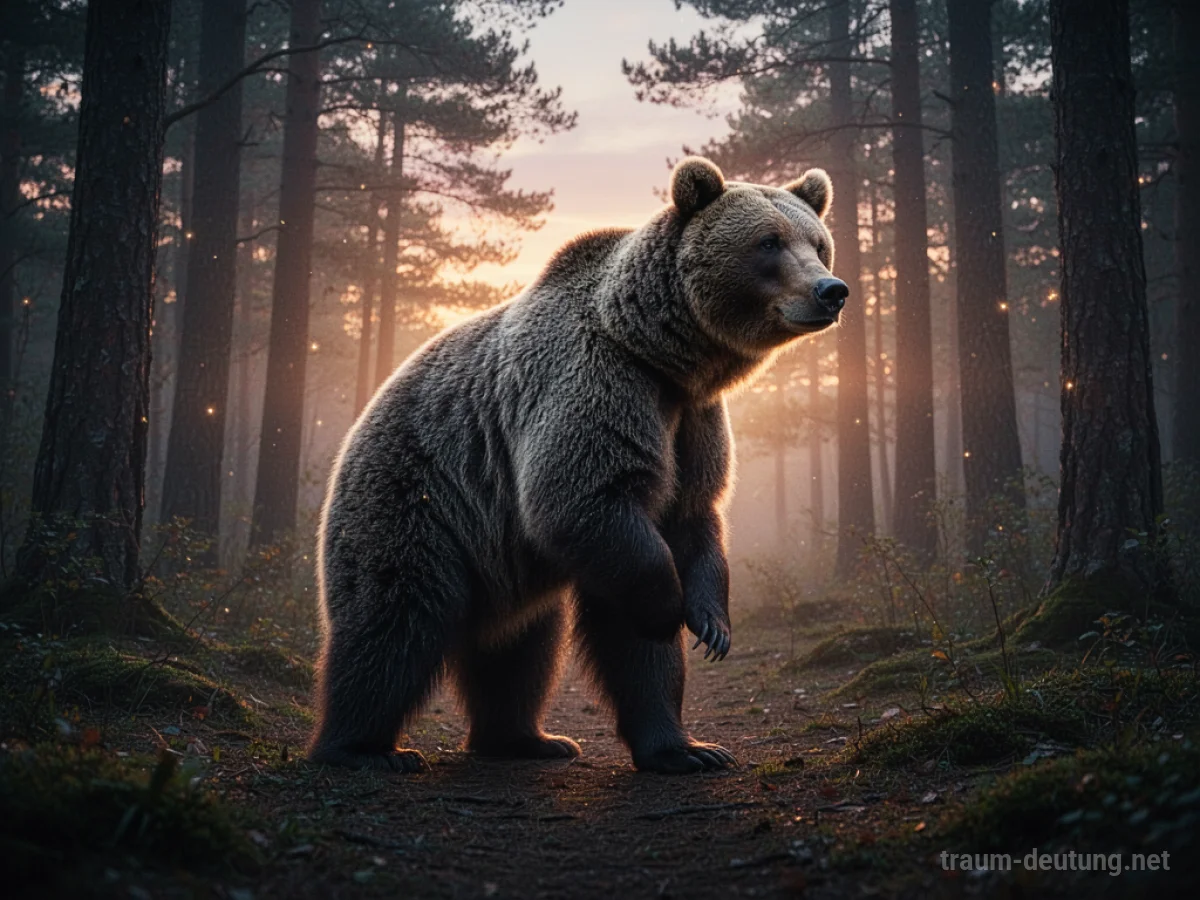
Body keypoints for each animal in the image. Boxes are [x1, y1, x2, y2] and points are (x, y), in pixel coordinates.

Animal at [309, 156, 846, 775]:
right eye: (768, 242)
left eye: (819, 243)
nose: (831, 290)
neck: (662, 356)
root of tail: (356, 431)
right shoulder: (594, 386)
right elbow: (582, 502)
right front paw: (670, 611)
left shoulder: (691, 422)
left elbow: (690, 520)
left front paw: (707, 654)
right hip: (417, 502)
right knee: (394, 621)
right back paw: (362, 748)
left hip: (504, 561)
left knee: (520, 650)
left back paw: (530, 738)